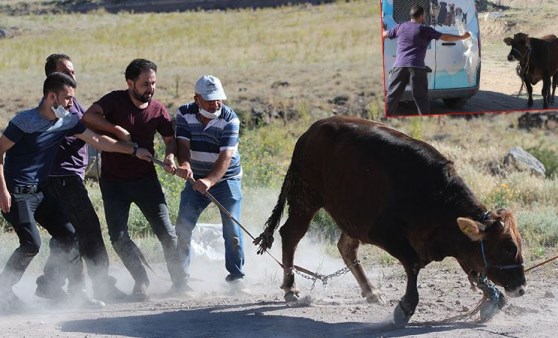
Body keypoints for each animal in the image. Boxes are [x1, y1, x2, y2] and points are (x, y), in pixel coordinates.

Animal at [256, 116, 528, 328]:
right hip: (306, 199)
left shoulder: (459, 245)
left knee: (346, 248)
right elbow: (414, 264)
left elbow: (476, 271)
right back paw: (291, 288)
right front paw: (406, 307)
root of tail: (310, 131)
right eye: (507, 248)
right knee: (290, 235)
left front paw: (493, 296)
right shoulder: (384, 233)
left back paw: (370, 291)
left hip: (352, 215)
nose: (521, 287)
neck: (436, 195)